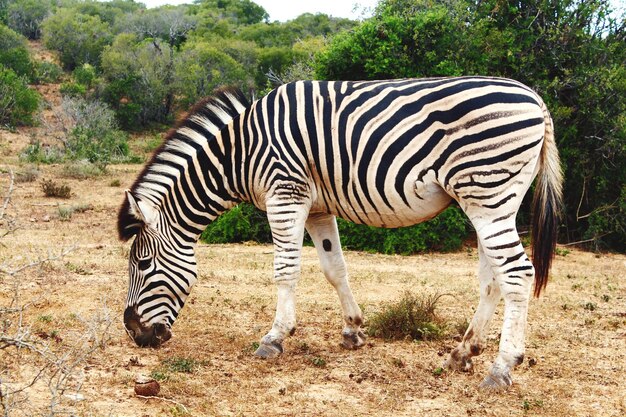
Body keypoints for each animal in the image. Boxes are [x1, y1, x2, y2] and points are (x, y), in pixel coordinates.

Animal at [117, 76, 560, 388]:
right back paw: (462, 353)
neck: (239, 154)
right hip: (492, 200)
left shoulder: (285, 194)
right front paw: (352, 331)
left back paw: (502, 368)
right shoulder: (317, 207)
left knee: (517, 273)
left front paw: (274, 338)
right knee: (493, 278)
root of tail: (536, 99)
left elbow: (285, 271)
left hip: (487, 192)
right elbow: (335, 268)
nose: (136, 334)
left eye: (142, 263)